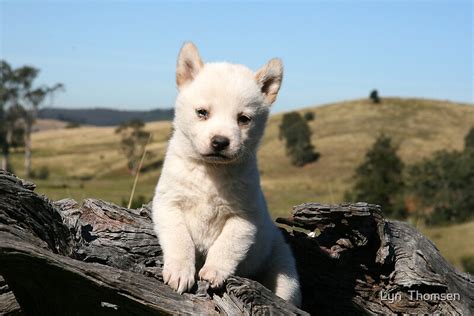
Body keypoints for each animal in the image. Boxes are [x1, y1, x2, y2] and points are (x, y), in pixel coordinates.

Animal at [154, 42, 302, 306]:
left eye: (243, 118)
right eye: (202, 112)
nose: (220, 142)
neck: (210, 172)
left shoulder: (244, 217)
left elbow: (227, 245)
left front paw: (214, 270)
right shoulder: (168, 203)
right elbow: (179, 238)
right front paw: (180, 270)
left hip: (283, 269)